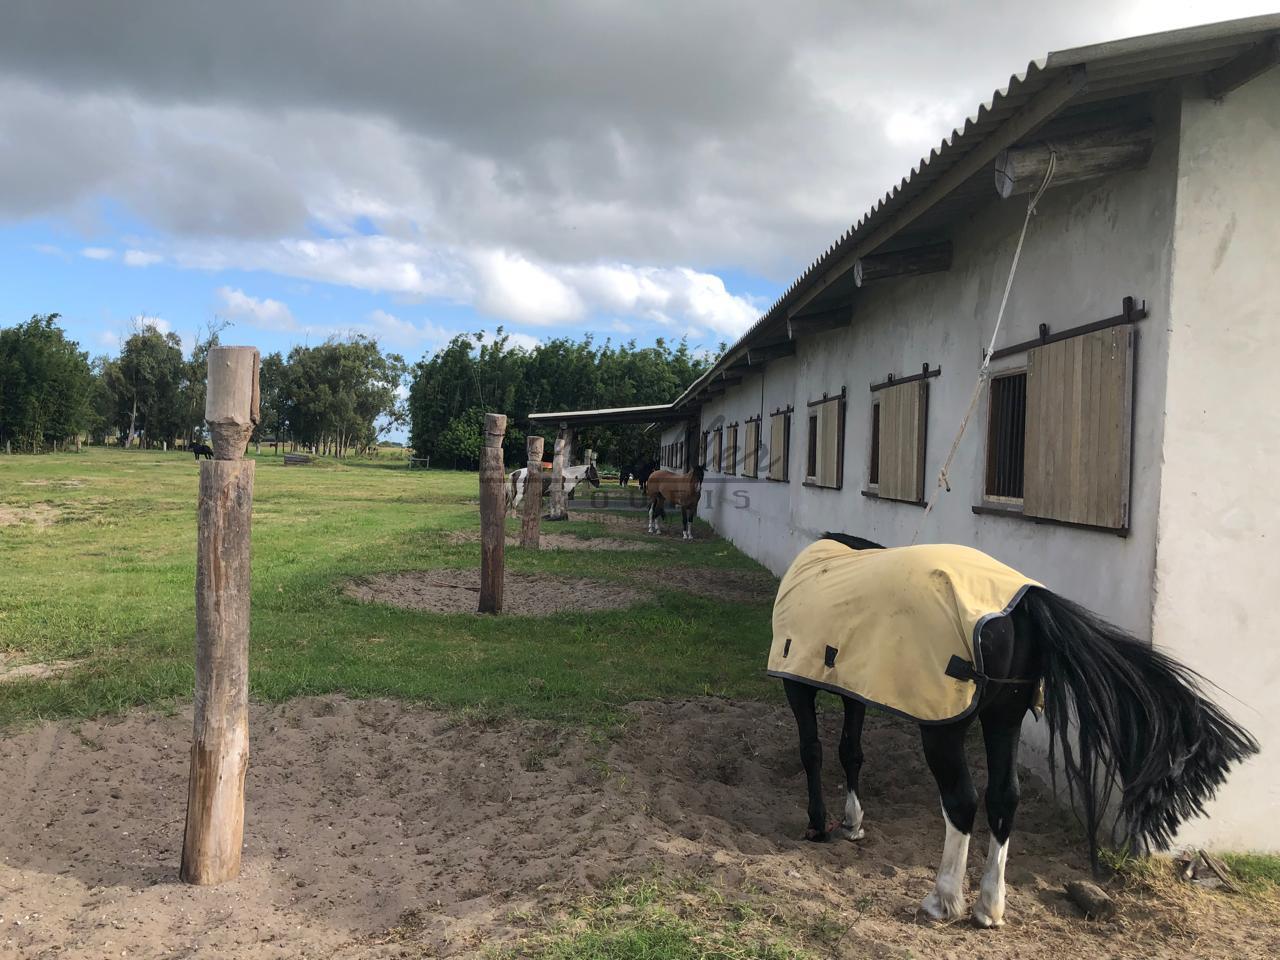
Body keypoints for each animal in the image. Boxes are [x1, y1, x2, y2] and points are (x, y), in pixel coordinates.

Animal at [778, 535, 1259, 931]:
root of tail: (1024, 604)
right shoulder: (855, 684)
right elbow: (850, 751)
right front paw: (852, 822)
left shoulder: (799, 684)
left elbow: (812, 750)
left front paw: (818, 824)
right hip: (1004, 718)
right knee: (1004, 797)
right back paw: (989, 908)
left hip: (945, 729)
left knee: (962, 801)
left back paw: (943, 901)